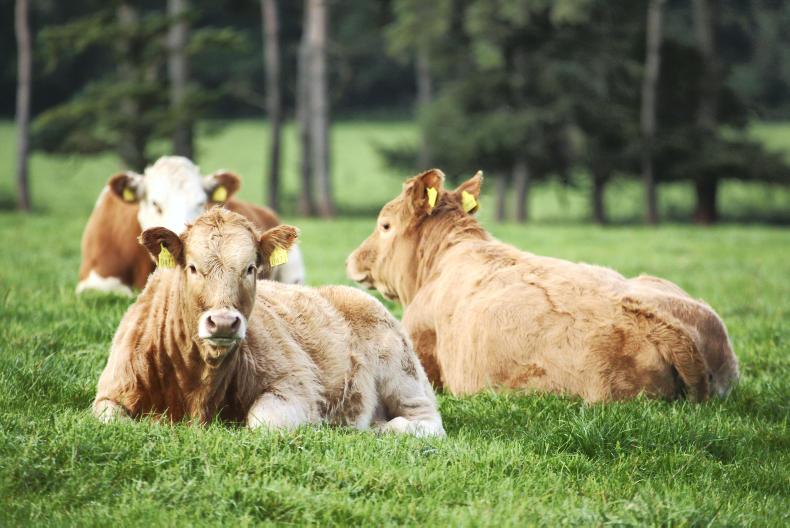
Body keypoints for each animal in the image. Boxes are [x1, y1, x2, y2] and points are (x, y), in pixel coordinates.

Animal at [92, 208, 445, 437]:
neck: (196, 388)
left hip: (402, 376)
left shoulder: (296, 388)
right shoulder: (110, 395)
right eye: (192, 267)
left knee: (424, 422)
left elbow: (263, 421)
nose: (223, 323)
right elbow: (111, 419)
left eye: (250, 268)